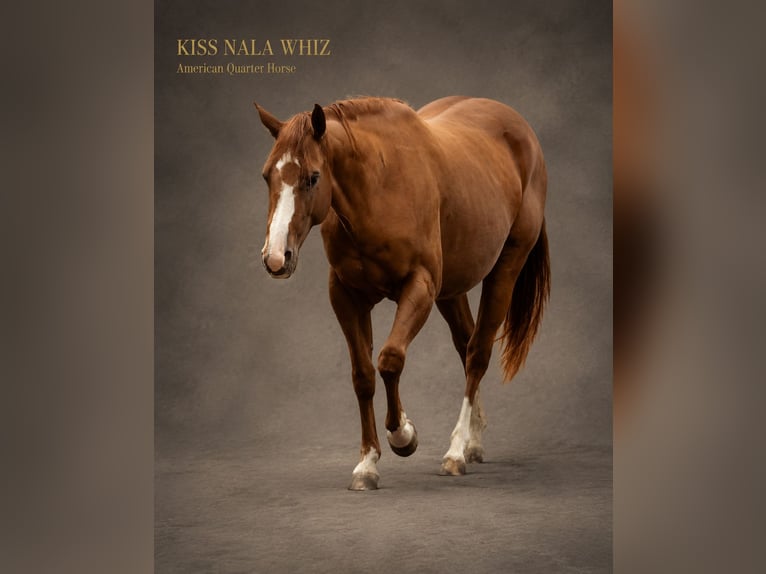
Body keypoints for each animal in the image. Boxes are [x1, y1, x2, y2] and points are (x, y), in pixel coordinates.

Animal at [254, 96, 549, 490]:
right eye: (267, 175)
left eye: (312, 177)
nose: (275, 257)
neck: (380, 189)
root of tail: (519, 128)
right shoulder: (346, 296)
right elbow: (363, 375)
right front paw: (367, 464)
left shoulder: (419, 288)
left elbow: (390, 359)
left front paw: (403, 435)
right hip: (450, 290)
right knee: (465, 344)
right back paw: (473, 442)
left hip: (504, 270)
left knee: (477, 354)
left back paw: (456, 452)